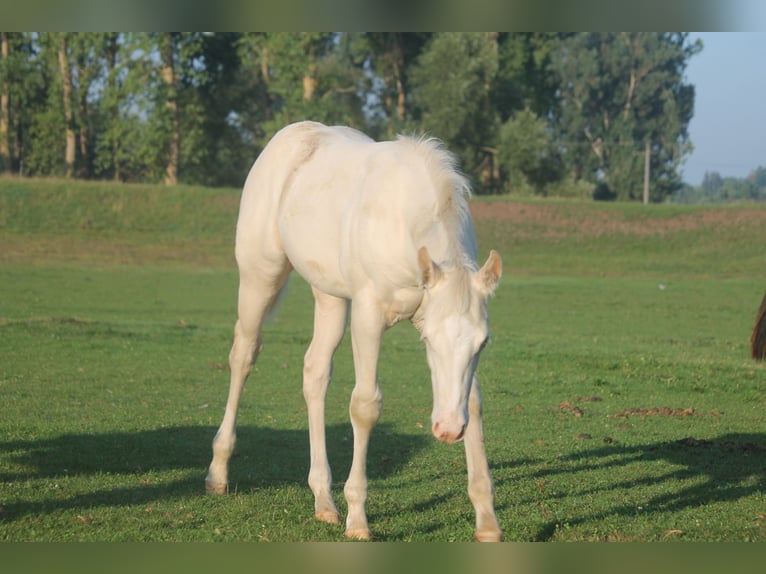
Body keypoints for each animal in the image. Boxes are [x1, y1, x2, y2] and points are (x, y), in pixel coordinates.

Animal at [205, 121, 503, 542]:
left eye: (483, 342)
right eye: (429, 340)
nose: (447, 430)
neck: (405, 221)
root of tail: (288, 135)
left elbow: (472, 401)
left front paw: (487, 522)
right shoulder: (368, 315)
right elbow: (365, 406)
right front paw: (358, 519)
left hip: (329, 295)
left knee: (315, 371)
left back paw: (323, 500)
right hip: (260, 275)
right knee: (244, 354)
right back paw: (218, 471)